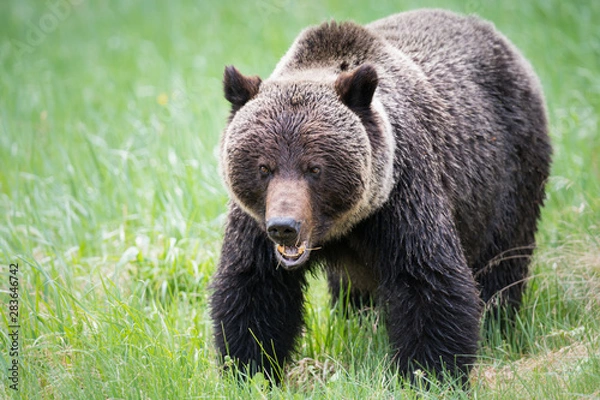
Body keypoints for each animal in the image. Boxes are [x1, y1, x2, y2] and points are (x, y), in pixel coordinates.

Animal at [209, 8, 552, 384]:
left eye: (314, 168)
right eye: (264, 167)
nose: (284, 226)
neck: (344, 226)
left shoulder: (402, 194)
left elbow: (426, 277)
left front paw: (429, 371)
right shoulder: (254, 222)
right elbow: (255, 288)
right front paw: (250, 368)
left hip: (509, 177)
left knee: (503, 259)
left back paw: (498, 321)